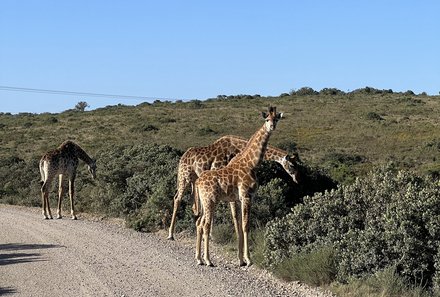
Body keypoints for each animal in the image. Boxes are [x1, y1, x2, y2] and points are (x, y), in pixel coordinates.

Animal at [168, 134, 300, 238]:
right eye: (292, 166)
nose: (297, 180)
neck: (239, 149)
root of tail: (182, 157)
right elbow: (234, 214)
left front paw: (214, 235)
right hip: (184, 177)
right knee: (177, 198)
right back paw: (171, 234)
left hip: (194, 180)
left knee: (193, 203)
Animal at [194, 106, 284, 266]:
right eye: (267, 119)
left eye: (276, 119)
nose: (272, 127)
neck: (252, 164)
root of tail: (197, 182)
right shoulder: (246, 195)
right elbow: (245, 225)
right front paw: (248, 259)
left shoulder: (240, 198)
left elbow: (240, 226)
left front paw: (241, 259)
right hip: (210, 201)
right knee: (206, 225)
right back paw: (208, 260)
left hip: (204, 202)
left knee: (199, 223)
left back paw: (199, 258)